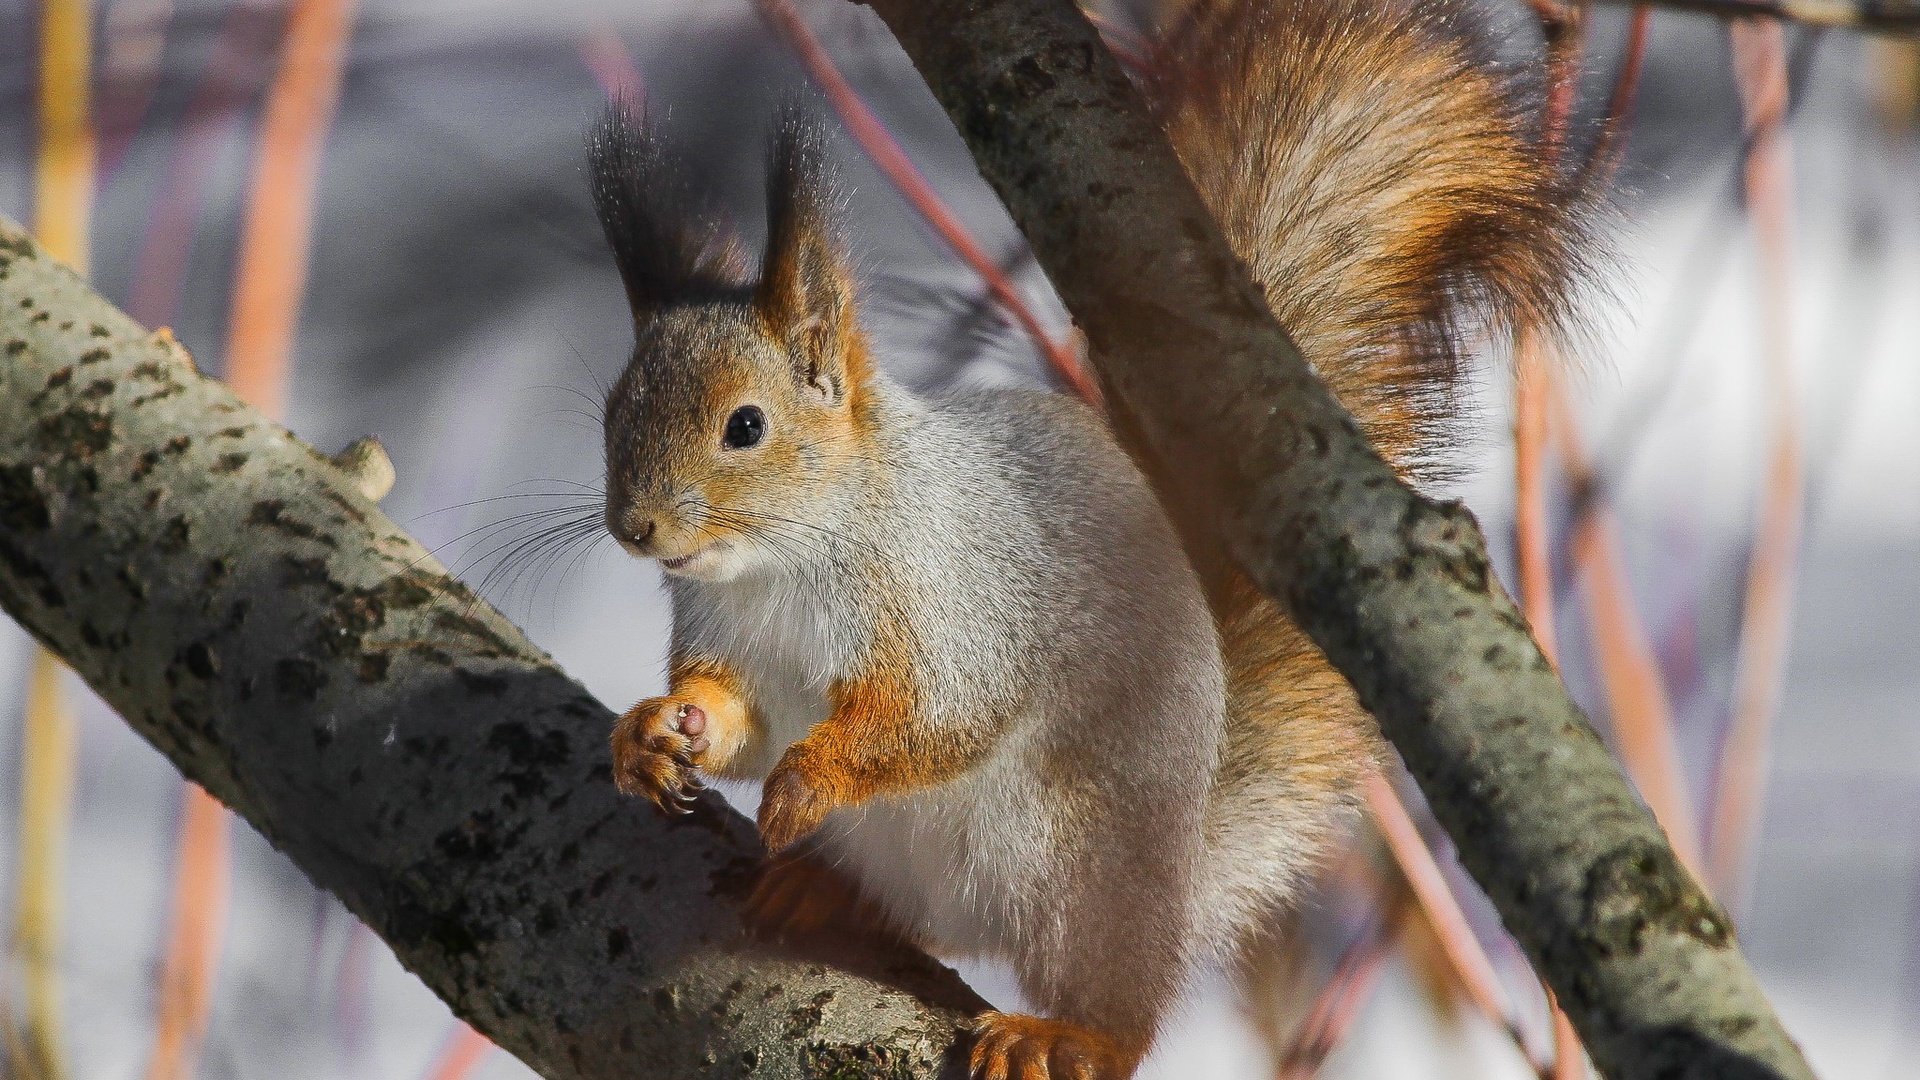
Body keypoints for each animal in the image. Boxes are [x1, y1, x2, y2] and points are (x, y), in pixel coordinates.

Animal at [591, 2, 1582, 1076]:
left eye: (745, 426)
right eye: (611, 412)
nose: (635, 528)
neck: (778, 565)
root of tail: (1184, 865)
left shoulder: (956, 603)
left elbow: (931, 721)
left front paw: (811, 778)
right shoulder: (729, 639)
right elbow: (735, 717)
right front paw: (654, 730)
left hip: (1081, 870)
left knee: (1120, 1008)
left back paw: (1064, 1030)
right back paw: (821, 890)